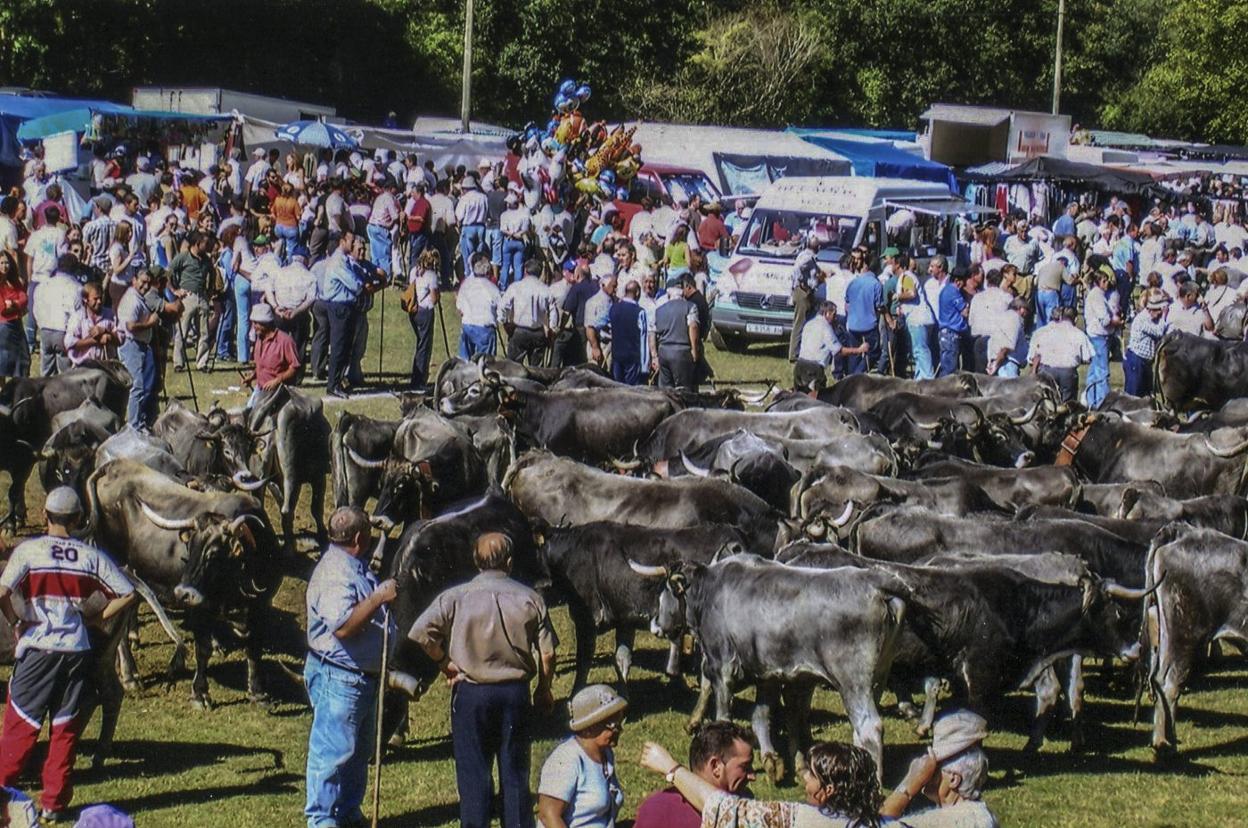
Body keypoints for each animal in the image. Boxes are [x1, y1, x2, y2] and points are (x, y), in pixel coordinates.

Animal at [85, 457, 283, 709]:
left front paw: (259, 693)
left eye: (215, 553)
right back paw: (130, 675)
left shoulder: (260, 606)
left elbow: (254, 648)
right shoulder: (201, 608)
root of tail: (112, 466)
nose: (182, 592)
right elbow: (203, 649)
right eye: (190, 547)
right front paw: (200, 694)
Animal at [648, 556, 903, 779]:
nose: (655, 624)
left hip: (852, 682)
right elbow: (764, 715)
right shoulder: (770, 675)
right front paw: (774, 760)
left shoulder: (722, 665)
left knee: (870, 728)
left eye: (664, 592)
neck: (710, 590)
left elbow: (720, 707)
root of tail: (874, 582)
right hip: (878, 678)